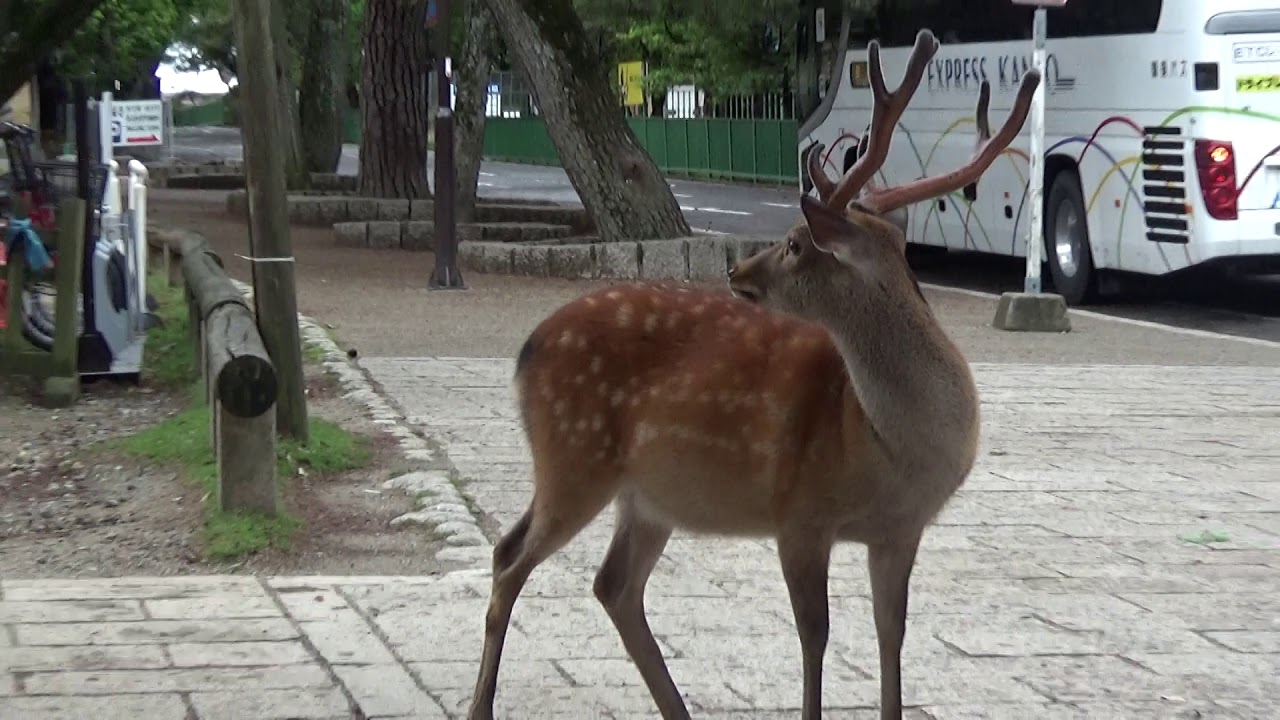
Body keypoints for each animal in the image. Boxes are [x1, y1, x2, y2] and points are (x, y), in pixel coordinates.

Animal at [467, 29, 1040, 720]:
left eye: (793, 243)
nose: (736, 271)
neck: (886, 446)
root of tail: (526, 350)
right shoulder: (798, 512)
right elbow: (815, 636)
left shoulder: (901, 532)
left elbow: (891, 635)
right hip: (573, 455)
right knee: (510, 558)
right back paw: (481, 706)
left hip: (647, 494)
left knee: (611, 584)